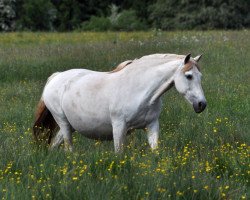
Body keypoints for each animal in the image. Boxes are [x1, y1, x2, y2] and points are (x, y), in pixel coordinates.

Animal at [32, 53, 206, 152]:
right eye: (189, 76)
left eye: (200, 76)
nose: (201, 104)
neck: (140, 89)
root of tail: (56, 77)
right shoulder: (119, 126)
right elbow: (119, 153)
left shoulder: (151, 125)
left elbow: (155, 150)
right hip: (63, 123)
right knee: (69, 149)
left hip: (70, 126)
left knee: (54, 145)